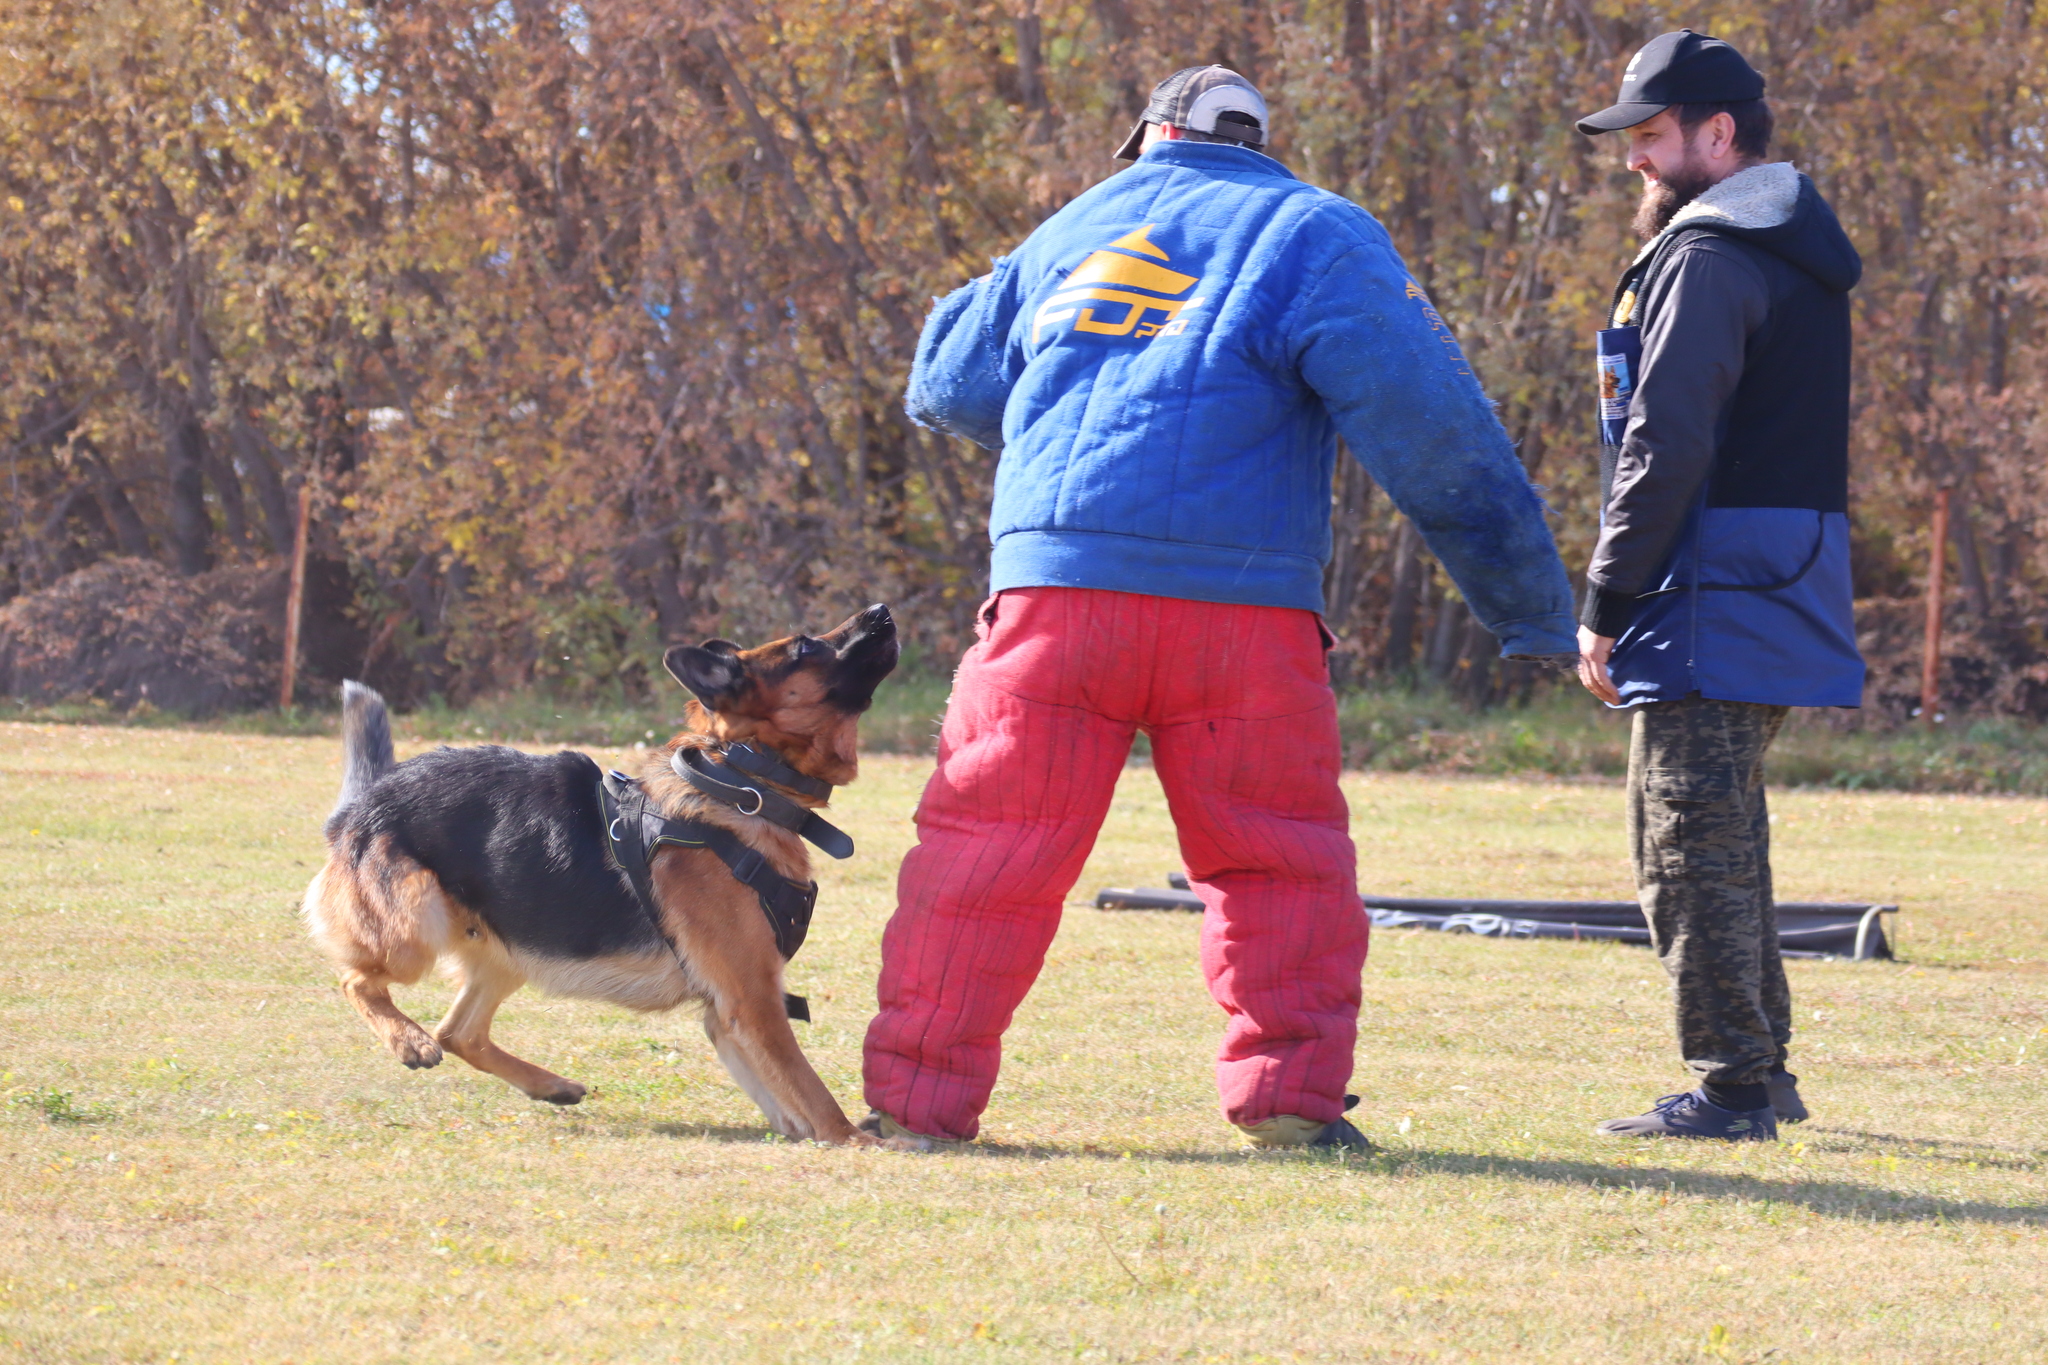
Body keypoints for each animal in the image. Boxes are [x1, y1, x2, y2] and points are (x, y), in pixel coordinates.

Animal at [301, 601, 897, 1146]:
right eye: (805, 647)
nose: (882, 610)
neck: (741, 783)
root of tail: (362, 801)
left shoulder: (729, 1011)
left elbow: (783, 1096)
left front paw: (814, 1135)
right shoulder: (751, 999)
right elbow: (810, 1087)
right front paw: (855, 1140)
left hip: (515, 945)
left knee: (460, 1033)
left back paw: (549, 1085)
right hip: (416, 927)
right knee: (358, 981)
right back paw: (410, 1041)